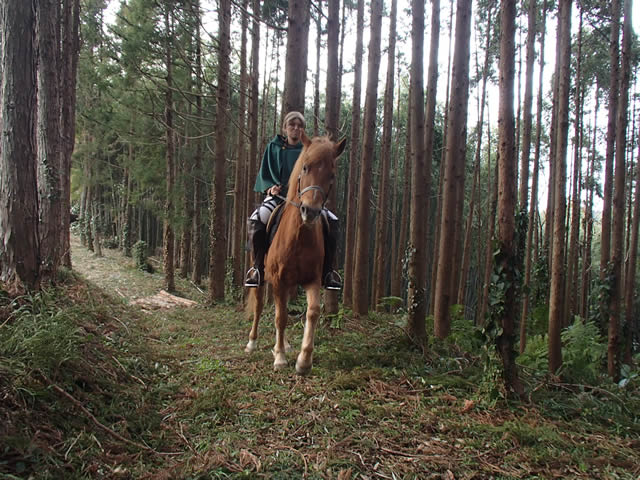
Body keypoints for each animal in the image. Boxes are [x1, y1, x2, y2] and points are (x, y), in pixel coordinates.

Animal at [244, 131, 344, 376]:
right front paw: (280, 358)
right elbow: (280, 317)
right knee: (260, 306)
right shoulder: (278, 280)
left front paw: (303, 360)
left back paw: (285, 344)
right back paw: (252, 343)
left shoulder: (312, 280)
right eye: (305, 167)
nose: (311, 212)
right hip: (262, 277)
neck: (299, 237)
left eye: (332, 175)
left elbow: (312, 312)